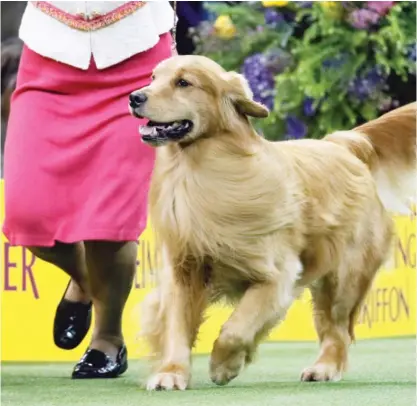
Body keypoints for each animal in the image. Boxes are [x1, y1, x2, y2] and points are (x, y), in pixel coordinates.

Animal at [128, 55, 414, 392]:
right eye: (153, 77)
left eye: (183, 82)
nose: (135, 97)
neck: (200, 171)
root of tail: (342, 144)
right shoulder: (182, 270)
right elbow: (176, 326)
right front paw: (171, 372)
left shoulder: (276, 275)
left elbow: (237, 328)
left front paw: (224, 365)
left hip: (346, 276)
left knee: (338, 329)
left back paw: (325, 367)